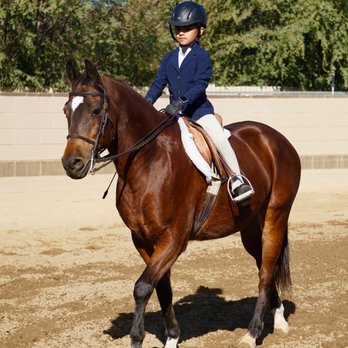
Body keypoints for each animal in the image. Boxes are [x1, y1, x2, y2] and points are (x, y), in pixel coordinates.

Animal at [62, 59, 302, 348]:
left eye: (96, 111)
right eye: (66, 110)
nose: (71, 163)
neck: (148, 161)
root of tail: (276, 138)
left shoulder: (175, 238)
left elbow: (142, 287)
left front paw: (137, 338)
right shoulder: (143, 239)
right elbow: (162, 287)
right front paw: (172, 337)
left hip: (275, 216)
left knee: (266, 271)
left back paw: (253, 333)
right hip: (251, 227)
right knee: (264, 264)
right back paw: (278, 317)